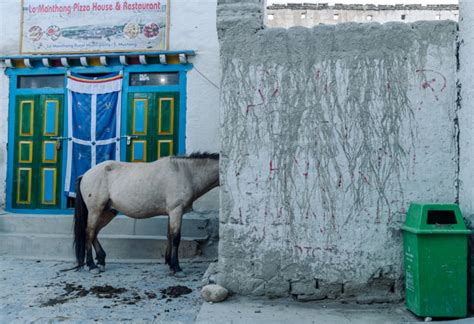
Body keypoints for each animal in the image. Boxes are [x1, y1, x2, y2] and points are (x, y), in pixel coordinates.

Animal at [74, 153, 220, 274]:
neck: (185, 172)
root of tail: (84, 175)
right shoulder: (176, 210)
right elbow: (175, 238)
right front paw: (176, 267)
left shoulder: (171, 213)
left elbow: (169, 235)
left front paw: (169, 263)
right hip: (95, 210)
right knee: (89, 233)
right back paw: (92, 265)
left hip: (108, 212)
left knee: (94, 233)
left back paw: (101, 261)